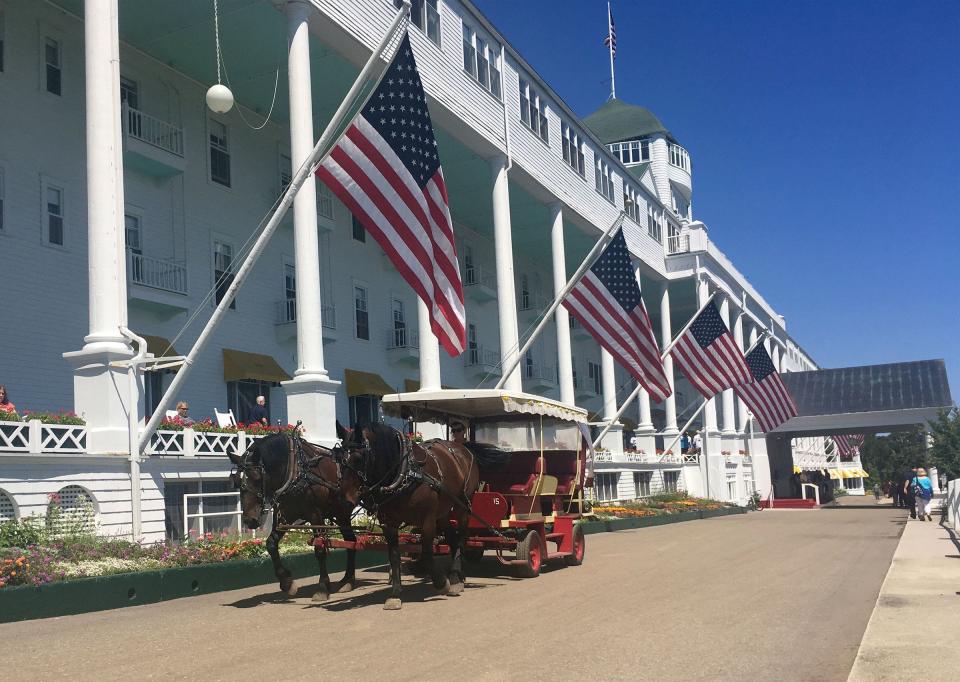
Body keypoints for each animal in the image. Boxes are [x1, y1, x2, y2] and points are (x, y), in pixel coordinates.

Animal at [228, 432, 356, 596]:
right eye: (237, 481)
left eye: (256, 478)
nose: (249, 520)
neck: (296, 470)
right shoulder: (285, 515)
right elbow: (271, 544)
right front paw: (286, 581)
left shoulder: (316, 515)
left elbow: (319, 549)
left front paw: (322, 586)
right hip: (341, 514)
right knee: (351, 541)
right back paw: (348, 580)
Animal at [342, 422, 484, 608]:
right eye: (339, 459)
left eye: (358, 458)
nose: (346, 499)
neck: (405, 473)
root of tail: (464, 450)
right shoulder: (388, 523)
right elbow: (394, 556)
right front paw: (395, 593)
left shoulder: (427, 519)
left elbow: (427, 553)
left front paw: (441, 583)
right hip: (443, 512)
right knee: (453, 539)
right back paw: (458, 577)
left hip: (462, 506)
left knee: (460, 539)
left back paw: (453, 578)